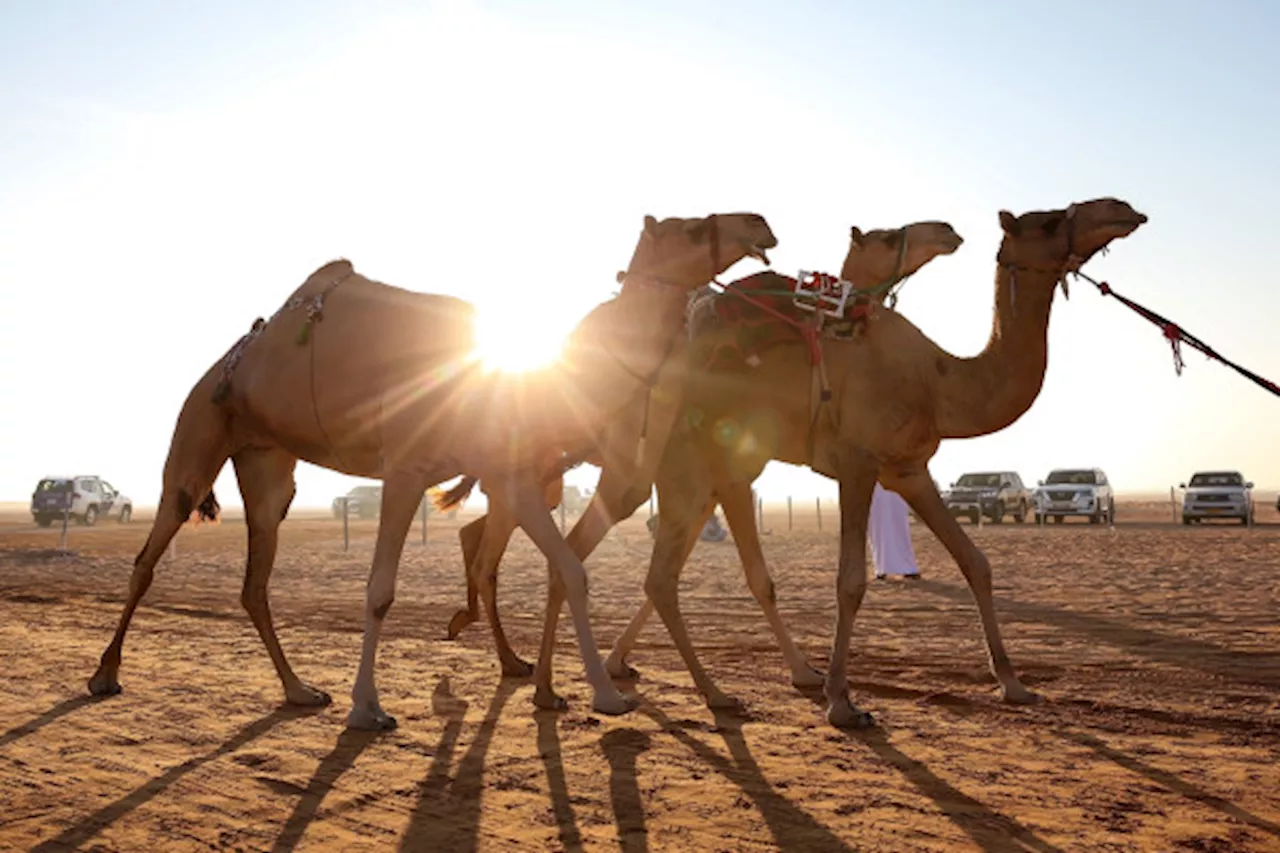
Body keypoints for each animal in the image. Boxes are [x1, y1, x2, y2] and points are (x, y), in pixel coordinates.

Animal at [87, 208, 778, 727]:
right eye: (693, 227)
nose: (760, 223)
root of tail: (226, 362)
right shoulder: (406, 468)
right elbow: (380, 590)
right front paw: (368, 708)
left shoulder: (509, 476)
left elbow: (571, 570)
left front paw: (605, 695)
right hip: (198, 431)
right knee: (151, 552)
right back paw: (105, 674)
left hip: (267, 467)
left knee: (255, 577)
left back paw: (300, 690)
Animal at [435, 217, 962, 701]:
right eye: (888, 237)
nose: (948, 232)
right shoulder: (707, 471)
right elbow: (734, 574)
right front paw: (802, 673)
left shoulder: (703, 480)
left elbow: (675, 568)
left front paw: (622, 662)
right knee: (499, 548)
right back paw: (508, 655)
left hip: (550, 472)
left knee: (481, 537)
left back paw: (497, 645)